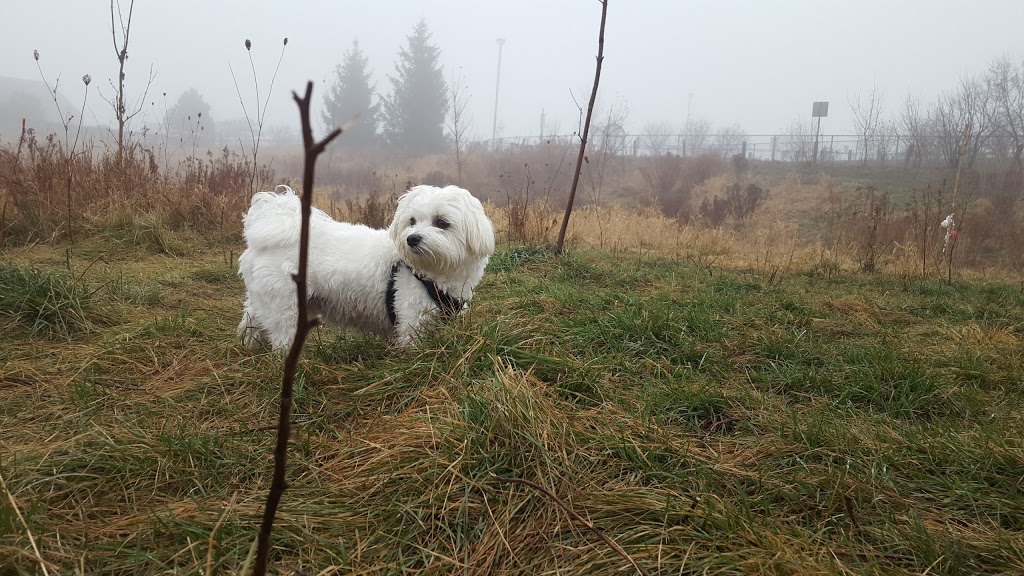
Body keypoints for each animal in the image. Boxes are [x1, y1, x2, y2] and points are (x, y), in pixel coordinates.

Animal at [239, 183, 495, 348]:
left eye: (442, 223)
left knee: (252, 321)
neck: (429, 272)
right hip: (284, 305)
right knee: (282, 333)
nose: (411, 238)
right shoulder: (412, 318)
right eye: (412, 221)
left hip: (265, 300)